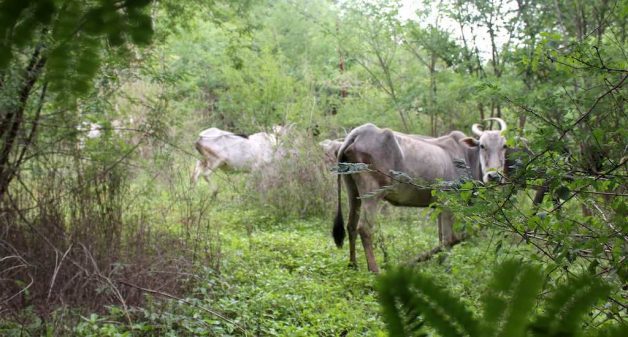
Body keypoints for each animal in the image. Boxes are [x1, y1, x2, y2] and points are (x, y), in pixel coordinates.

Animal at [332, 117, 508, 270]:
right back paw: (375, 270)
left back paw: (353, 265)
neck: (467, 157)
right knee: (365, 228)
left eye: (504, 146)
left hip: (353, 191)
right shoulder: (448, 204)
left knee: (351, 226)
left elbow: (440, 238)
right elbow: (449, 240)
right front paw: (445, 269)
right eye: (482, 146)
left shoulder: (438, 207)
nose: (493, 176)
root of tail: (357, 134)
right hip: (372, 194)